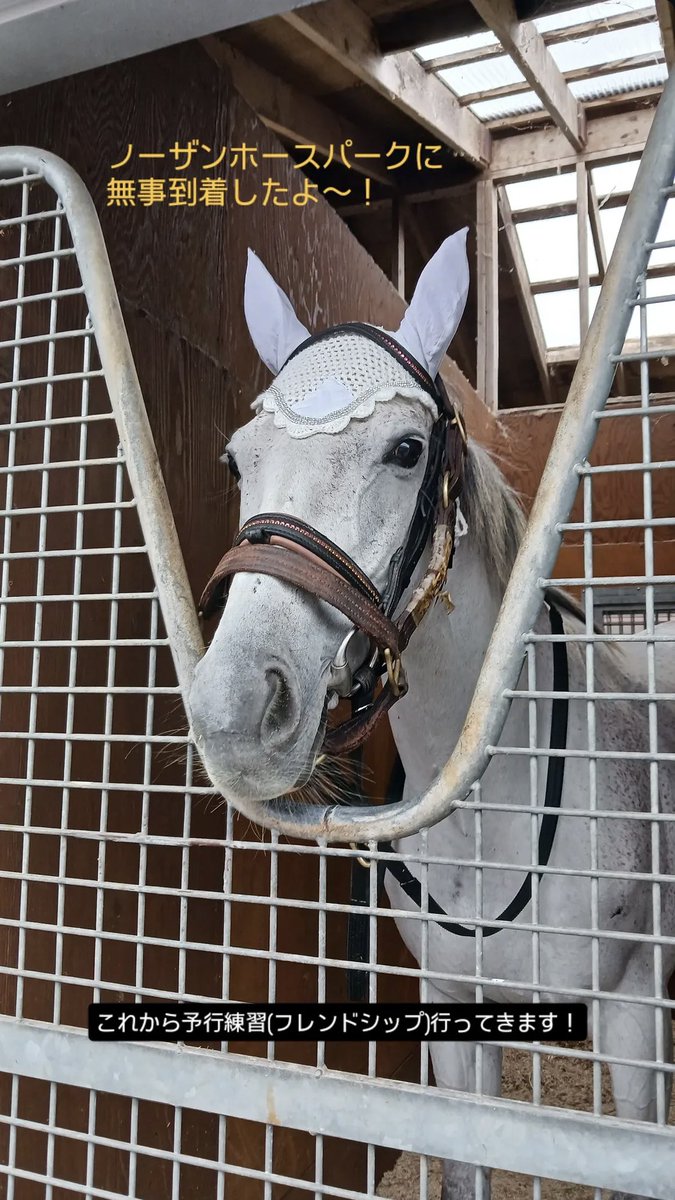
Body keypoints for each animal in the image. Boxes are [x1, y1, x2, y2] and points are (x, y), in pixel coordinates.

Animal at [189, 232, 675, 1200]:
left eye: (406, 448)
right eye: (237, 460)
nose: (234, 709)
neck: (495, 812)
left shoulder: (631, 1015)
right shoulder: (453, 1012)